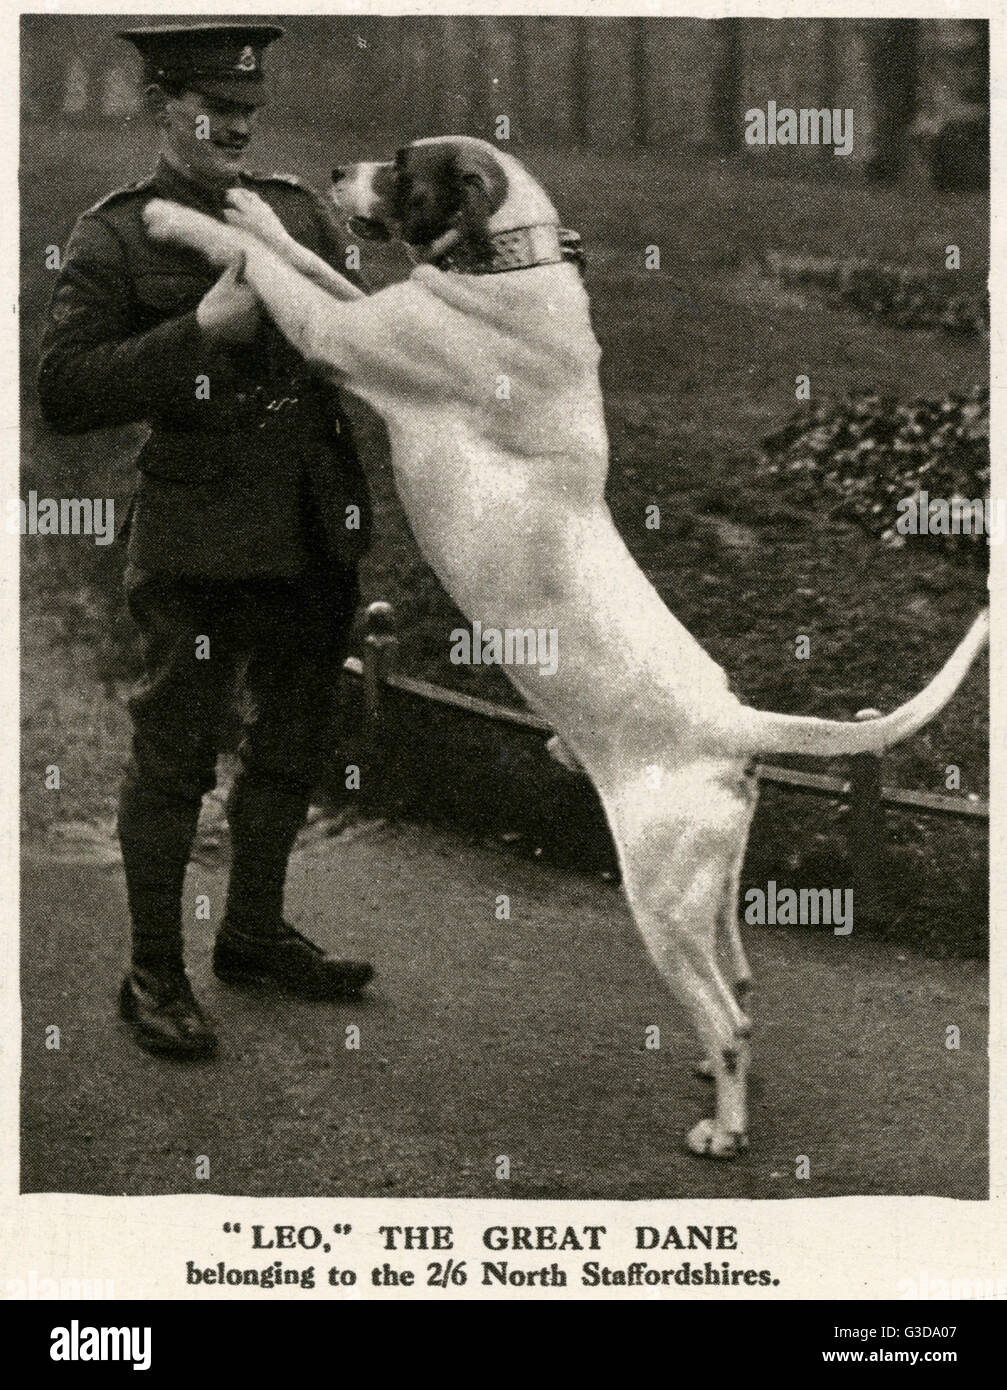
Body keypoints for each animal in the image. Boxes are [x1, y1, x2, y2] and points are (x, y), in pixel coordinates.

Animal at [143, 135, 990, 1156]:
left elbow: (273, 273)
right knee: (741, 979)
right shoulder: (361, 310)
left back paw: (723, 1129)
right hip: (709, 885)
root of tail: (733, 721)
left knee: (726, 1012)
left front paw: (179, 218)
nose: (339, 175)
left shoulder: (338, 336)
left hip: (658, 895)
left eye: (404, 165)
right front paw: (249, 207)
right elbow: (297, 256)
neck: (511, 264)